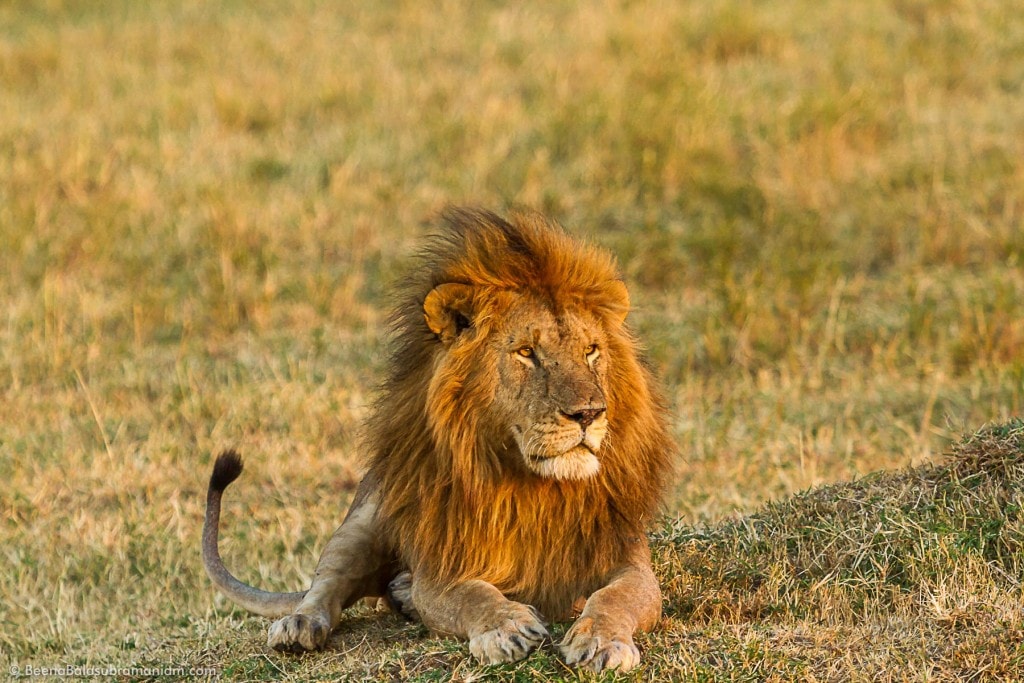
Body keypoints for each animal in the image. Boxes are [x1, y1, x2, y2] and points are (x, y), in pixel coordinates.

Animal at [202, 206, 675, 671]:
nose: (589, 414)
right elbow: (472, 595)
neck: (539, 490)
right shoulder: (443, 564)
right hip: (366, 520)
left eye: (591, 350)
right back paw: (302, 625)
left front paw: (601, 641)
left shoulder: (628, 557)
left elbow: (617, 597)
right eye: (526, 352)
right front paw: (506, 628)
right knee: (327, 584)